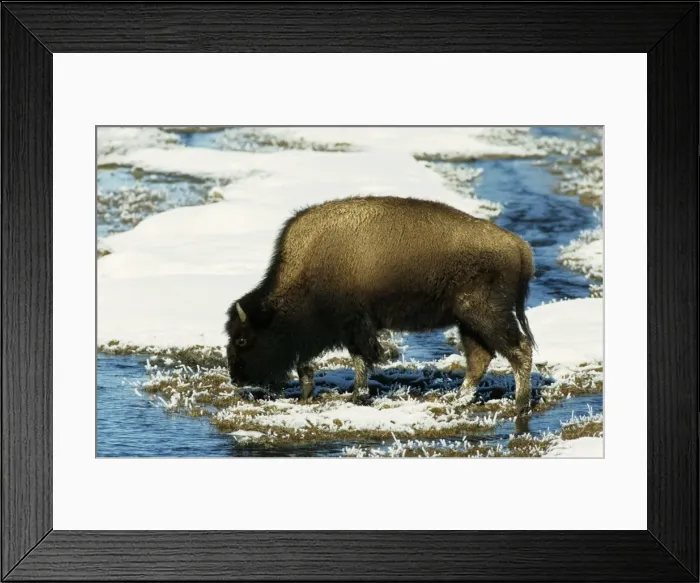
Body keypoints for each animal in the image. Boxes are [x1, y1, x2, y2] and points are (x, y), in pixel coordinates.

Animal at [226, 195, 536, 414]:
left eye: (242, 339)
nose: (237, 377)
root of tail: (519, 246)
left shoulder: (354, 325)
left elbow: (361, 358)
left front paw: (357, 395)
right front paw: (311, 392)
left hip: (486, 315)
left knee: (518, 350)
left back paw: (519, 404)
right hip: (468, 322)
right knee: (480, 358)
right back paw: (459, 400)